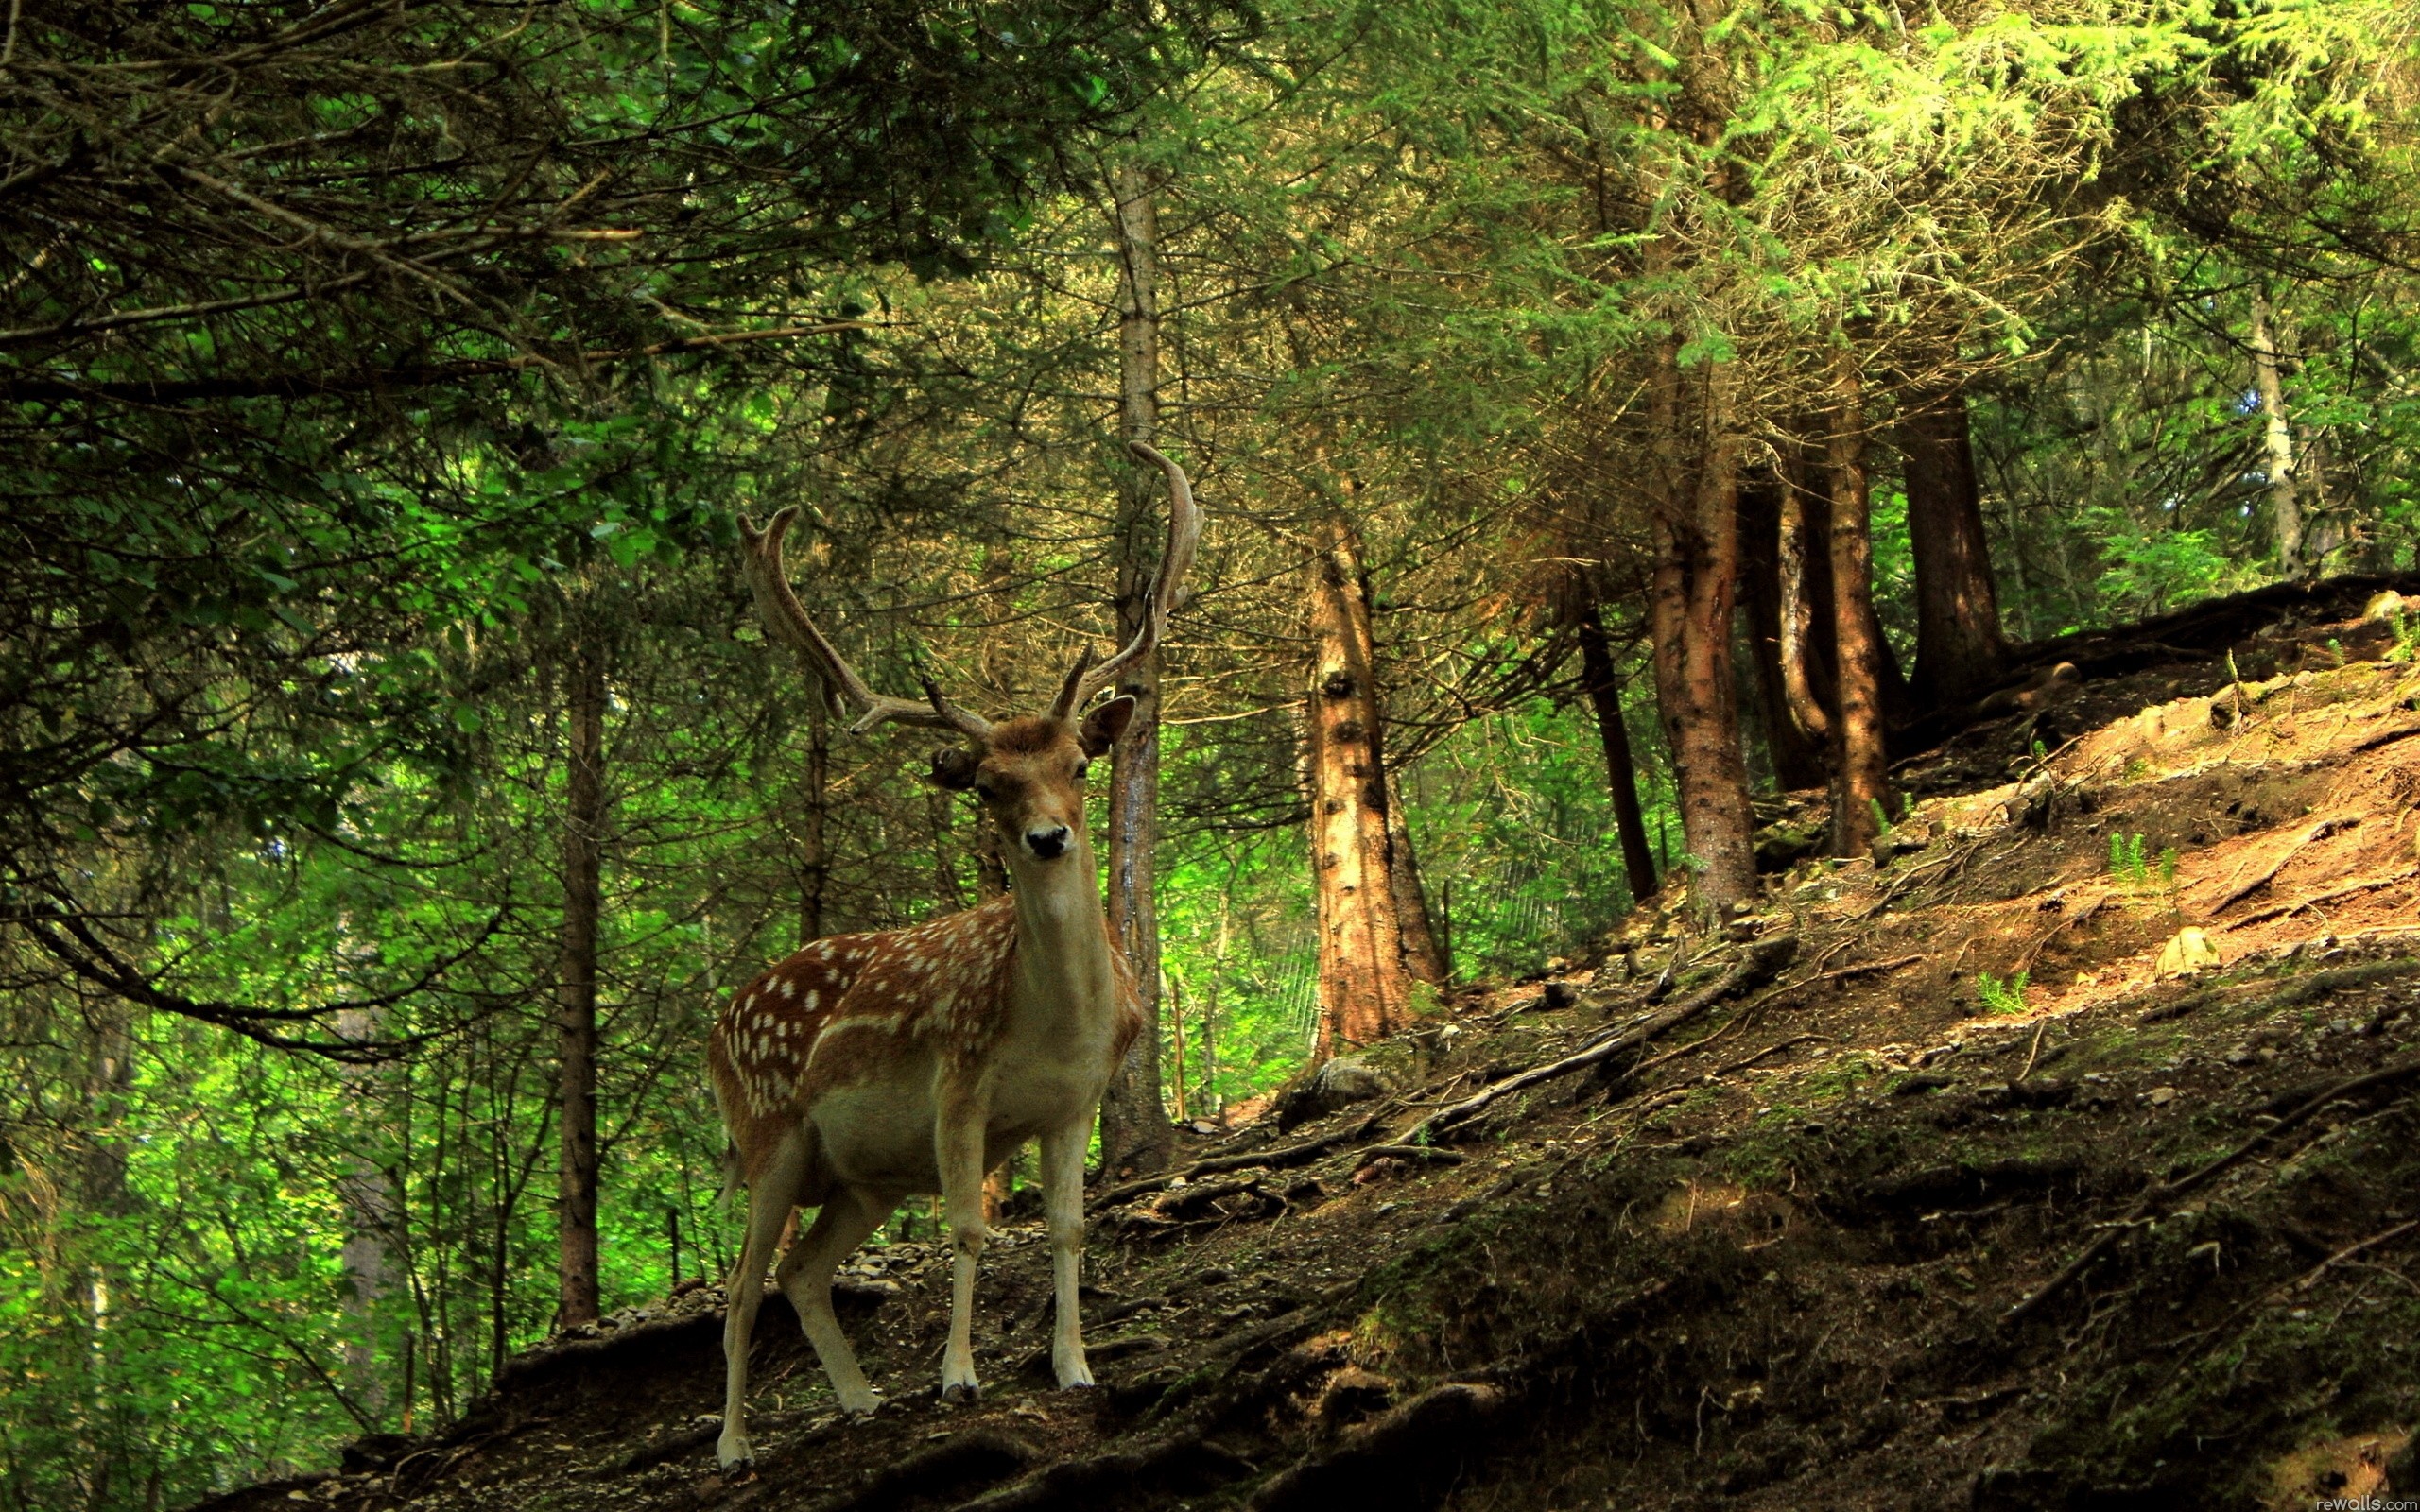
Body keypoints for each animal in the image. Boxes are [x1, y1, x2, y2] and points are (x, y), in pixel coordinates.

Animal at [707, 441, 1199, 1469]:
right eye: (987, 785)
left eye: (1079, 766)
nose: (1049, 838)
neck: (1057, 1027)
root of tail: (715, 1024)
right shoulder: (958, 1082)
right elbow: (971, 1229)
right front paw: (959, 1378)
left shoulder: (1075, 1102)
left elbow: (1068, 1226)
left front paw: (1075, 1367)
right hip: (769, 1133)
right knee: (739, 1286)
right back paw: (733, 1446)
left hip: (861, 1176)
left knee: (801, 1272)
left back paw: (861, 1400)